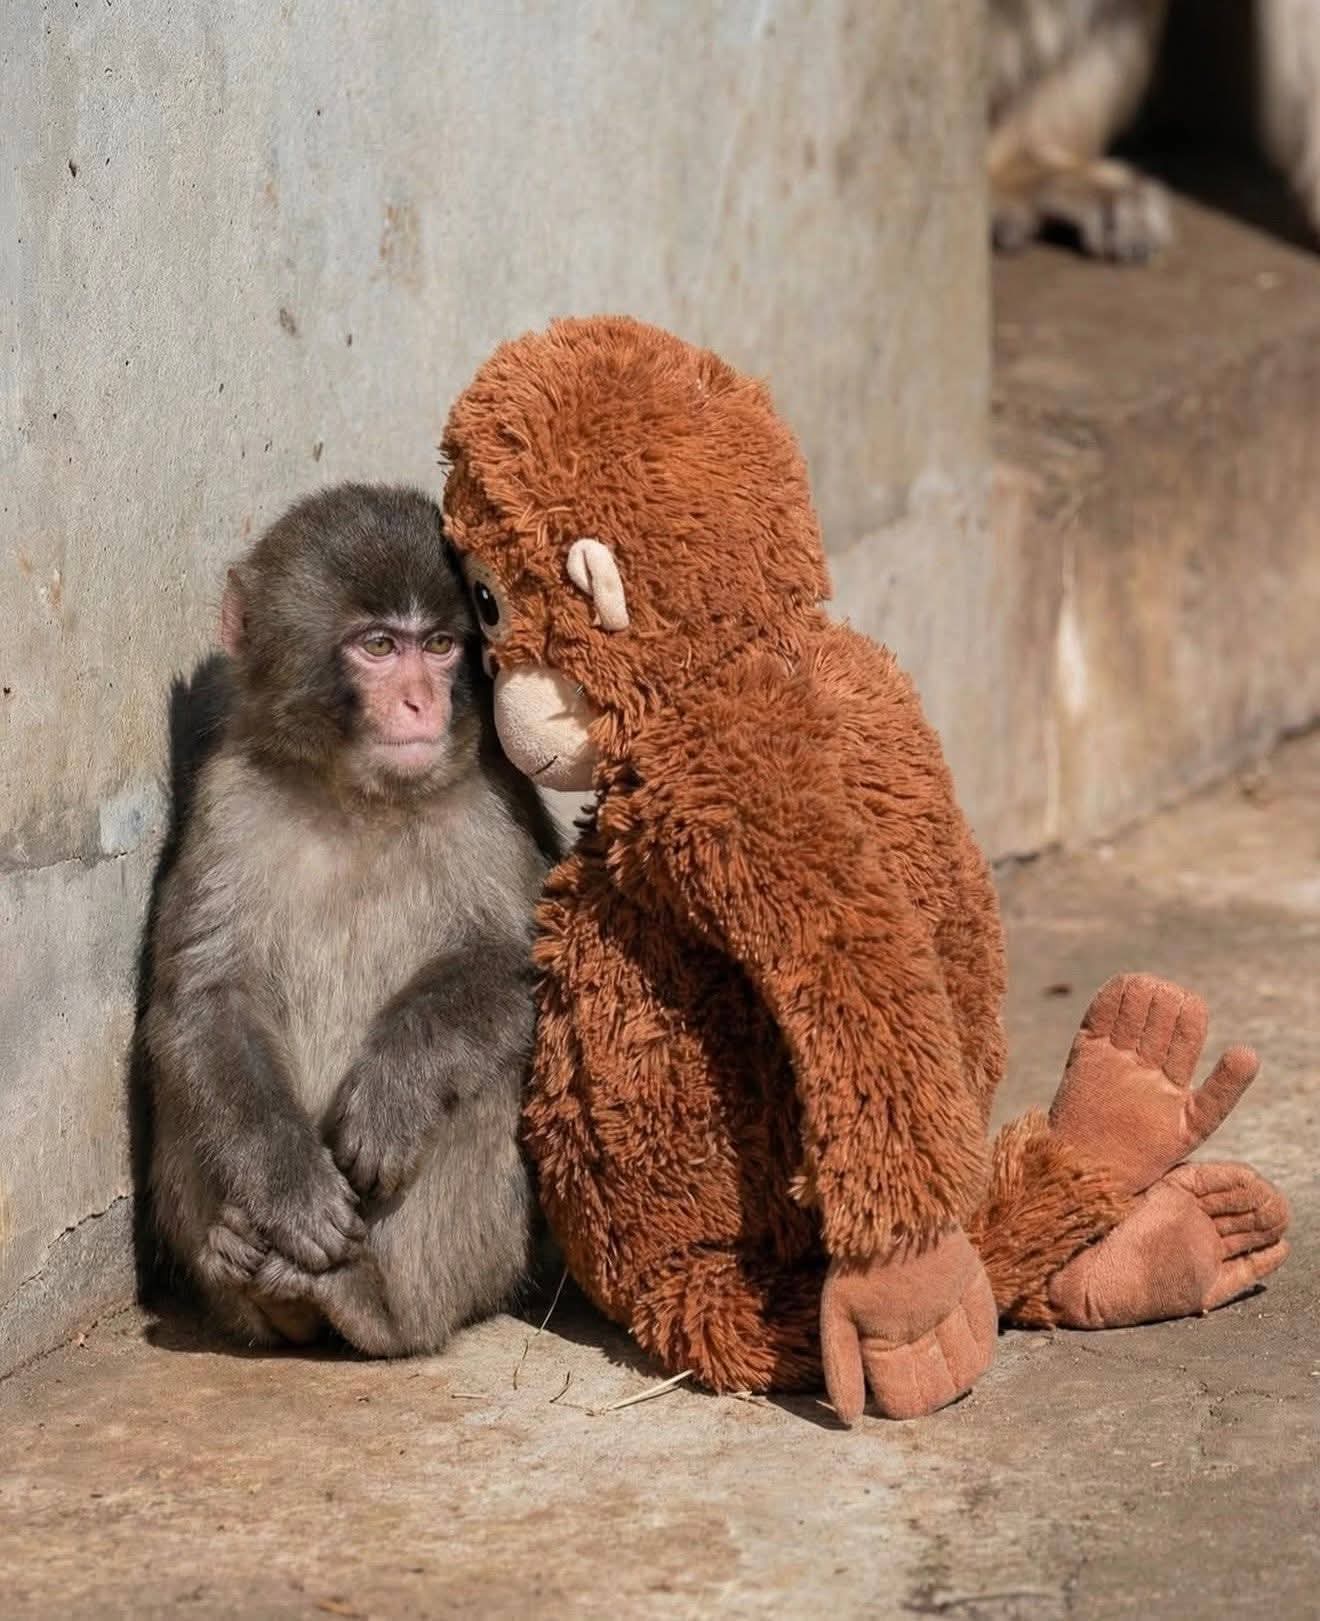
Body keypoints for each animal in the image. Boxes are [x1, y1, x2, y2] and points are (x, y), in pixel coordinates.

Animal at [143, 483, 559, 1355]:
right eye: (377, 645)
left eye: (439, 644)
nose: (420, 700)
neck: (361, 798)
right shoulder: (229, 800)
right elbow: (204, 999)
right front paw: (288, 1186)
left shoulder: (494, 802)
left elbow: (532, 965)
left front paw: (395, 1088)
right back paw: (243, 1268)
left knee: (485, 1083)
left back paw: (366, 1301)